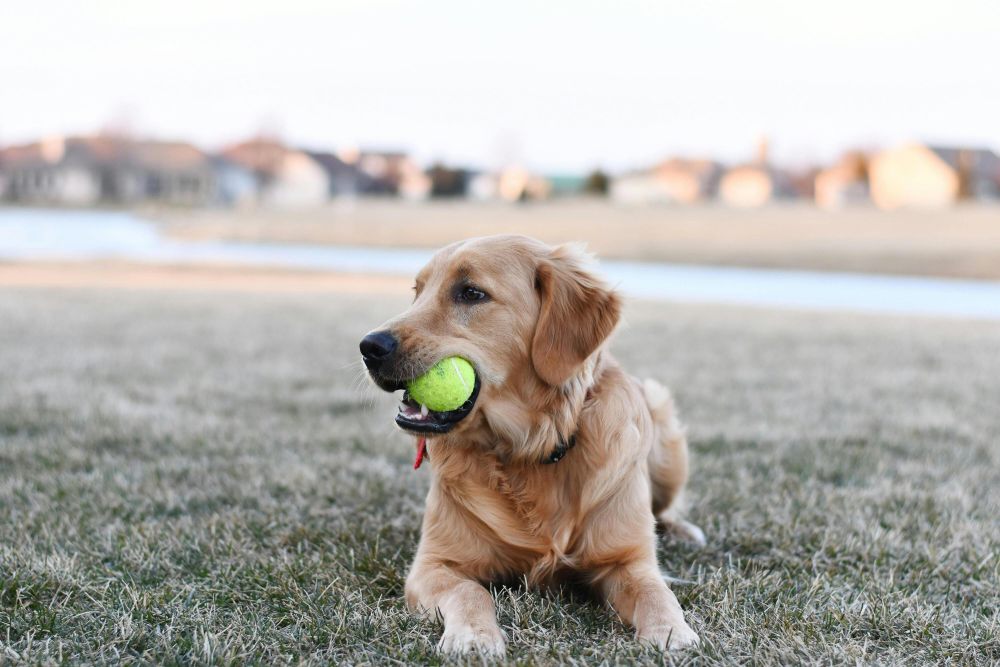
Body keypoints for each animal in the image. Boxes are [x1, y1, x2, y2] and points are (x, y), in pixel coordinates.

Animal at [362, 236, 704, 656]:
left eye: (471, 293)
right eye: (418, 291)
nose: (368, 346)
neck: (529, 449)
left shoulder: (628, 560)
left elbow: (656, 592)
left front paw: (672, 632)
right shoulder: (434, 564)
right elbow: (470, 592)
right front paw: (474, 635)